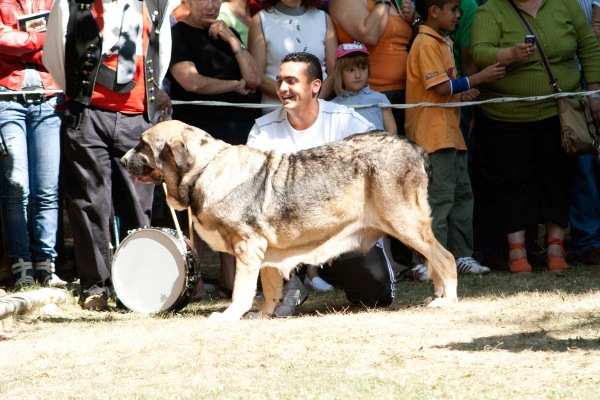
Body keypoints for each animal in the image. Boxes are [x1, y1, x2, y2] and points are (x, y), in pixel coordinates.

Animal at [123, 120, 460, 320]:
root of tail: (415, 149)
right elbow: (270, 287)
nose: (123, 160)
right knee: (435, 261)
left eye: (142, 144)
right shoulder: (263, 253)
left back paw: (447, 300)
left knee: (444, 258)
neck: (205, 168)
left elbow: (242, 289)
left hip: (405, 223)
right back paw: (438, 296)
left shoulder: (247, 247)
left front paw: (230, 314)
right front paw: (263, 314)